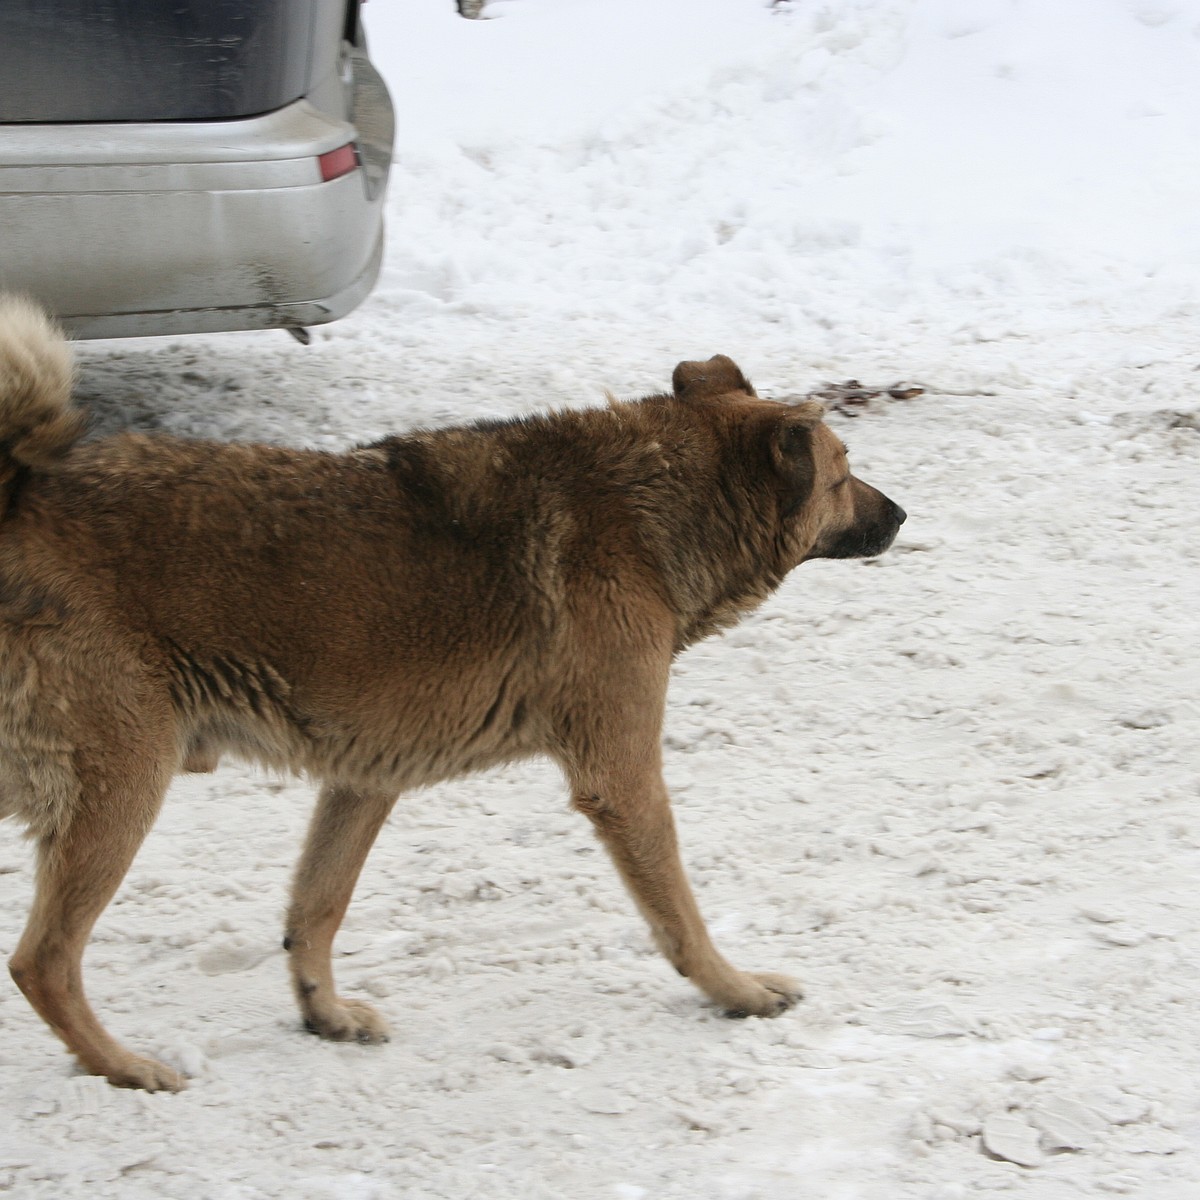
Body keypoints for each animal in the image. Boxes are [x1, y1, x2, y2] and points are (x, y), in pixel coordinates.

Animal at [0, 297, 902, 1089]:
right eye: (843, 475)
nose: (900, 514)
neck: (652, 499)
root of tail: (21, 495)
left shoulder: (363, 780)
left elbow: (315, 912)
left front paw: (325, 1014)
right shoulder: (622, 780)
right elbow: (680, 917)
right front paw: (737, 991)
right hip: (122, 786)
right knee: (41, 961)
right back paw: (121, 1066)